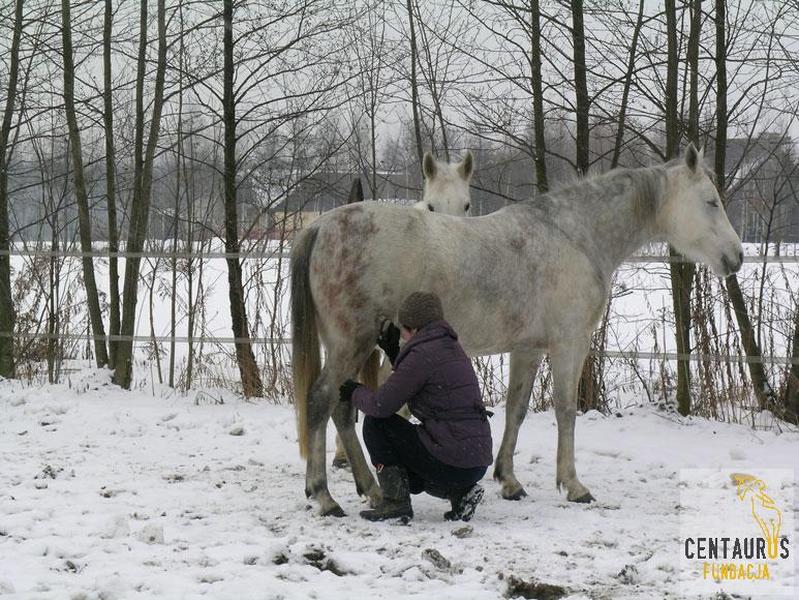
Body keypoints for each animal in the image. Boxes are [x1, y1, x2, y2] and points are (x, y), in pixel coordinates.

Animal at [292, 144, 744, 516]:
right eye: (711, 202)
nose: (736, 256)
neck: (573, 236)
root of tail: (323, 224)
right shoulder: (568, 345)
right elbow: (565, 411)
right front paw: (574, 485)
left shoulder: (528, 349)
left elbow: (517, 409)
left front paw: (508, 480)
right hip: (352, 343)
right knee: (322, 402)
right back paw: (325, 496)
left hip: (356, 347)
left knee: (343, 408)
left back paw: (369, 488)